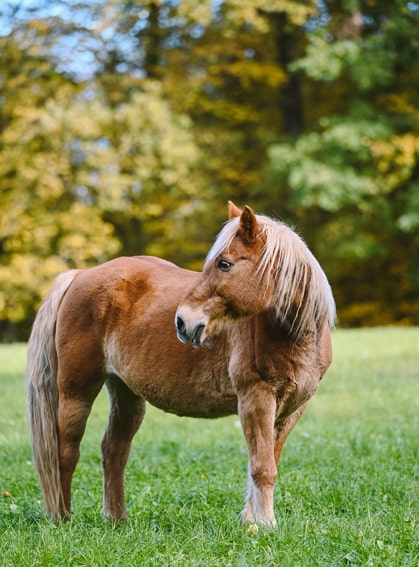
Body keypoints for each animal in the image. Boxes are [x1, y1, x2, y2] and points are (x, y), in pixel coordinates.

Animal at [26, 202, 336, 524]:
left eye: (224, 264)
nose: (183, 322)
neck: (294, 335)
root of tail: (80, 275)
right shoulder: (256, 398)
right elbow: (262, 467)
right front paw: (264, 525)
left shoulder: (292, 408)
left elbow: (267, 461)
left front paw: (251, 522)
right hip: (77, 391)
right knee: (65, 452)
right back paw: (62, 519)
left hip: (125, 392)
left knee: (114, 451)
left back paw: (118, 520)